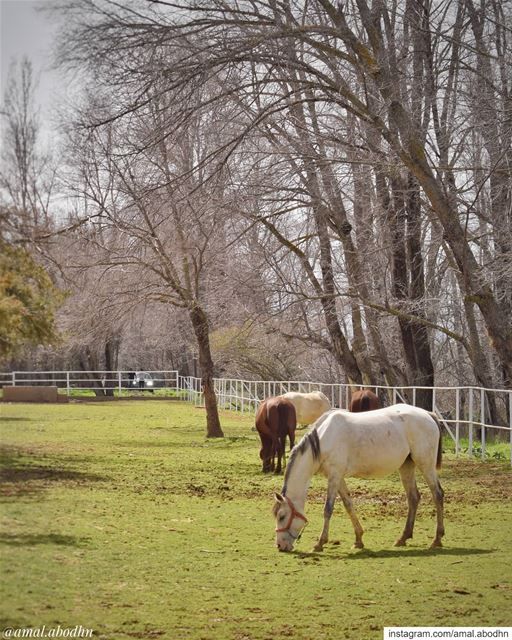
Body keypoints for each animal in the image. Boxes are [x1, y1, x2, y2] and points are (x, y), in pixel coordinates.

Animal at [272, 408, 444, 552]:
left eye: (282, 516)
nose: (280, 546)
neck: (322, 441)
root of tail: (428, 414)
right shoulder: (338, 477)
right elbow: (349, 505)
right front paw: (358, 540)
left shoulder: (335, 475)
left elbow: (328, 509)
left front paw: (320, 543)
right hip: (406, 466)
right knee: (413, 497)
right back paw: (403, 538)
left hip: (426, 464)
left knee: (438, 494)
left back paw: (436, 539)